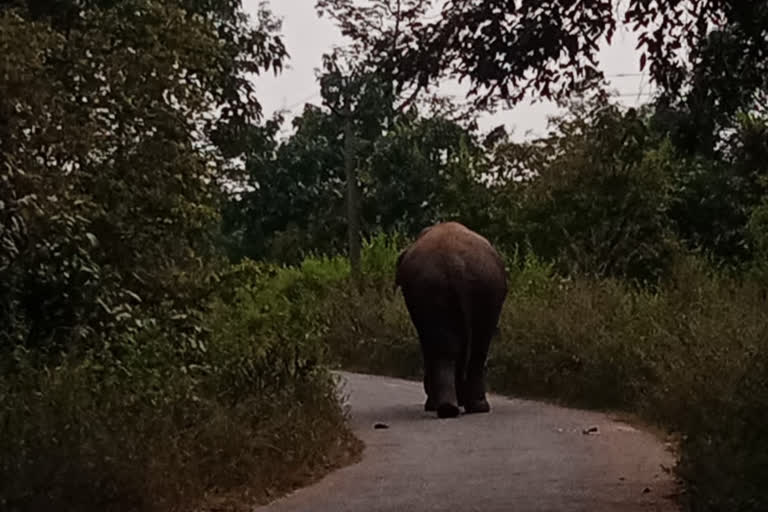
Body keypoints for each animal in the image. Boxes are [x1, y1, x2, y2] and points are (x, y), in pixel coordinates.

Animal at [392, 222, 508, 418]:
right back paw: (470, 407)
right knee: (477, 347)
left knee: (448, 348)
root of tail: (456, 266)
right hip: (479, 289)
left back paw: (450, 408)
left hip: (442, 290)